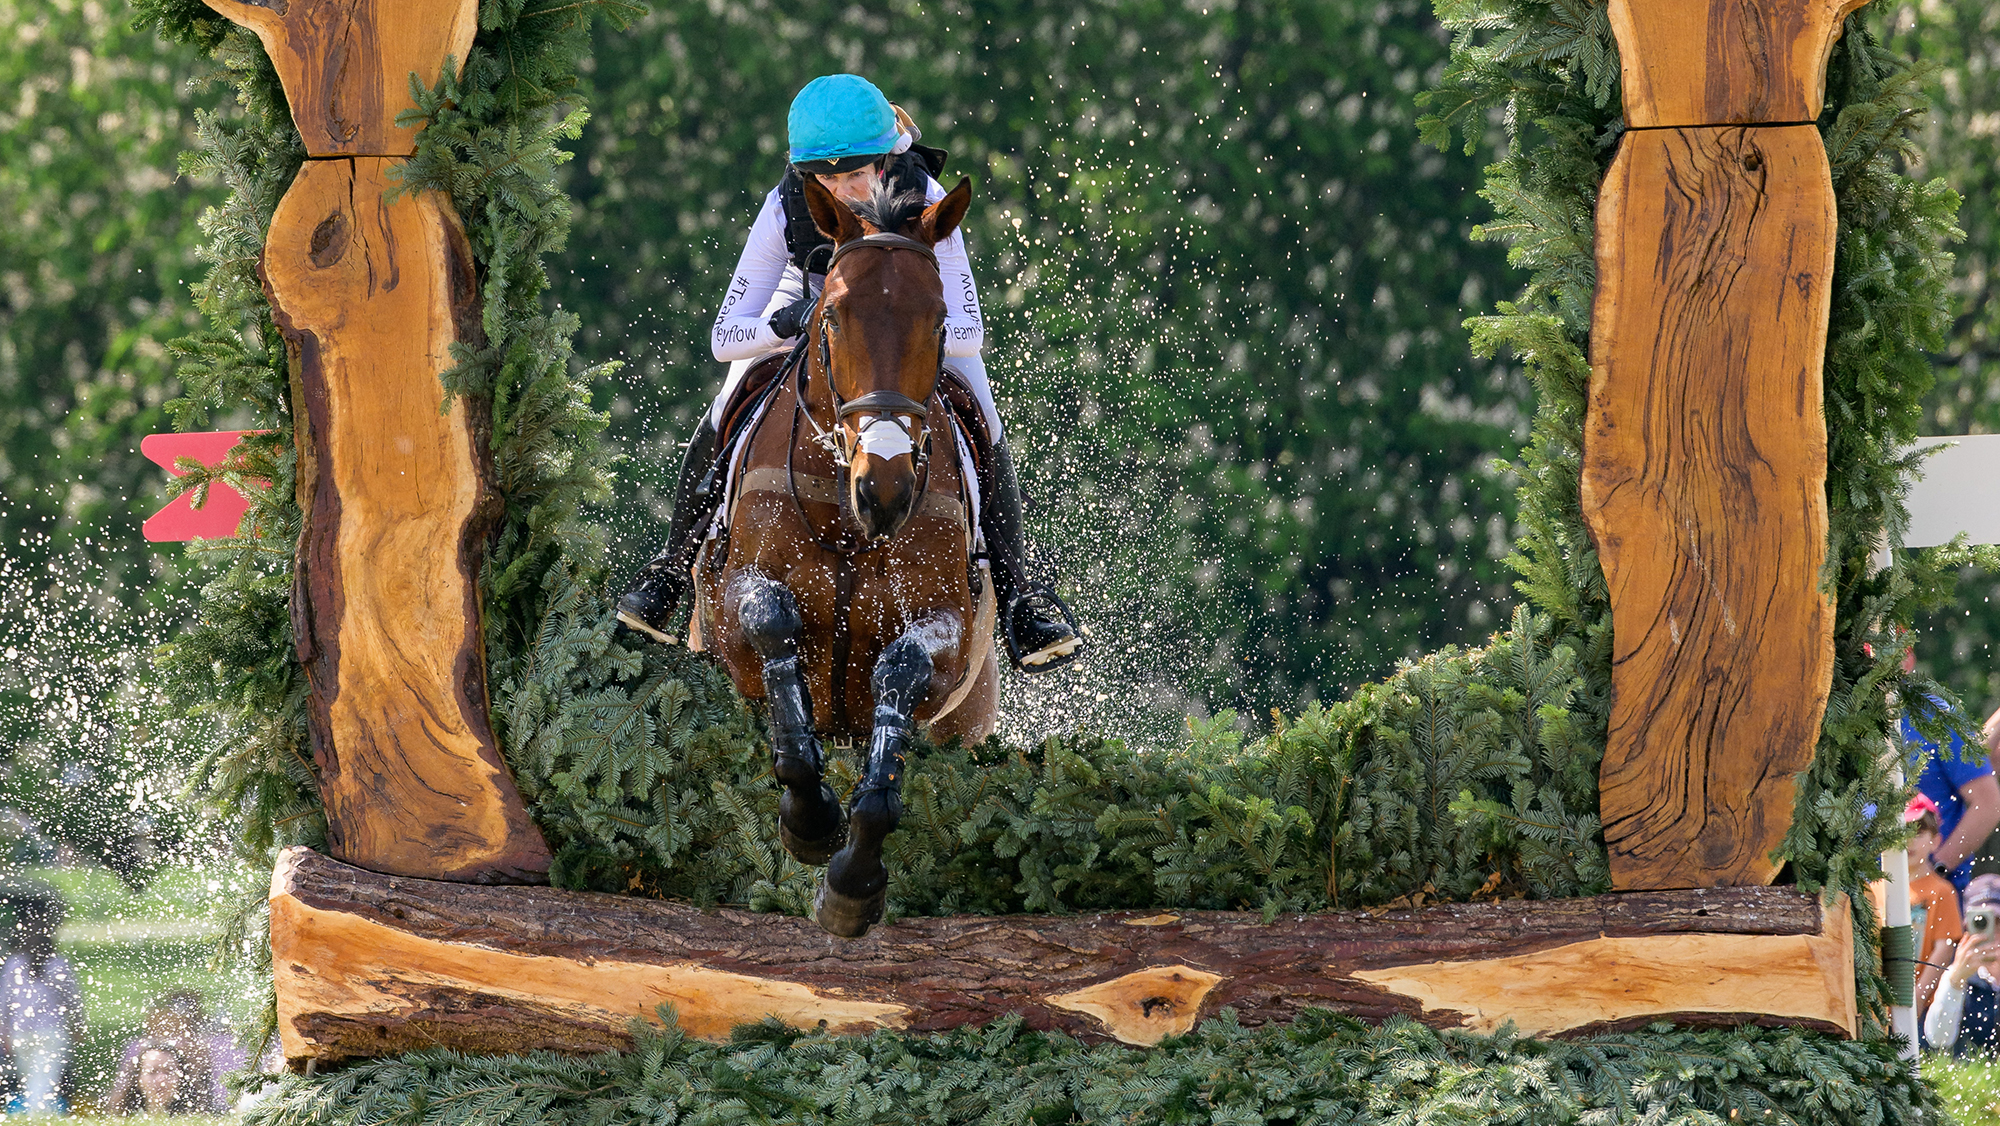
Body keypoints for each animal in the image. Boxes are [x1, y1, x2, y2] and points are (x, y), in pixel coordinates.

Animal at [689, 173, 998, 938]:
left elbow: (903, 673)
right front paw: (810, 820)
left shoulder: (946, 635)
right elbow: (772, 624)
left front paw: (853, 881)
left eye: (941, 322)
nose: (884, 489)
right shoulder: (736, 604)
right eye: (830, 318)